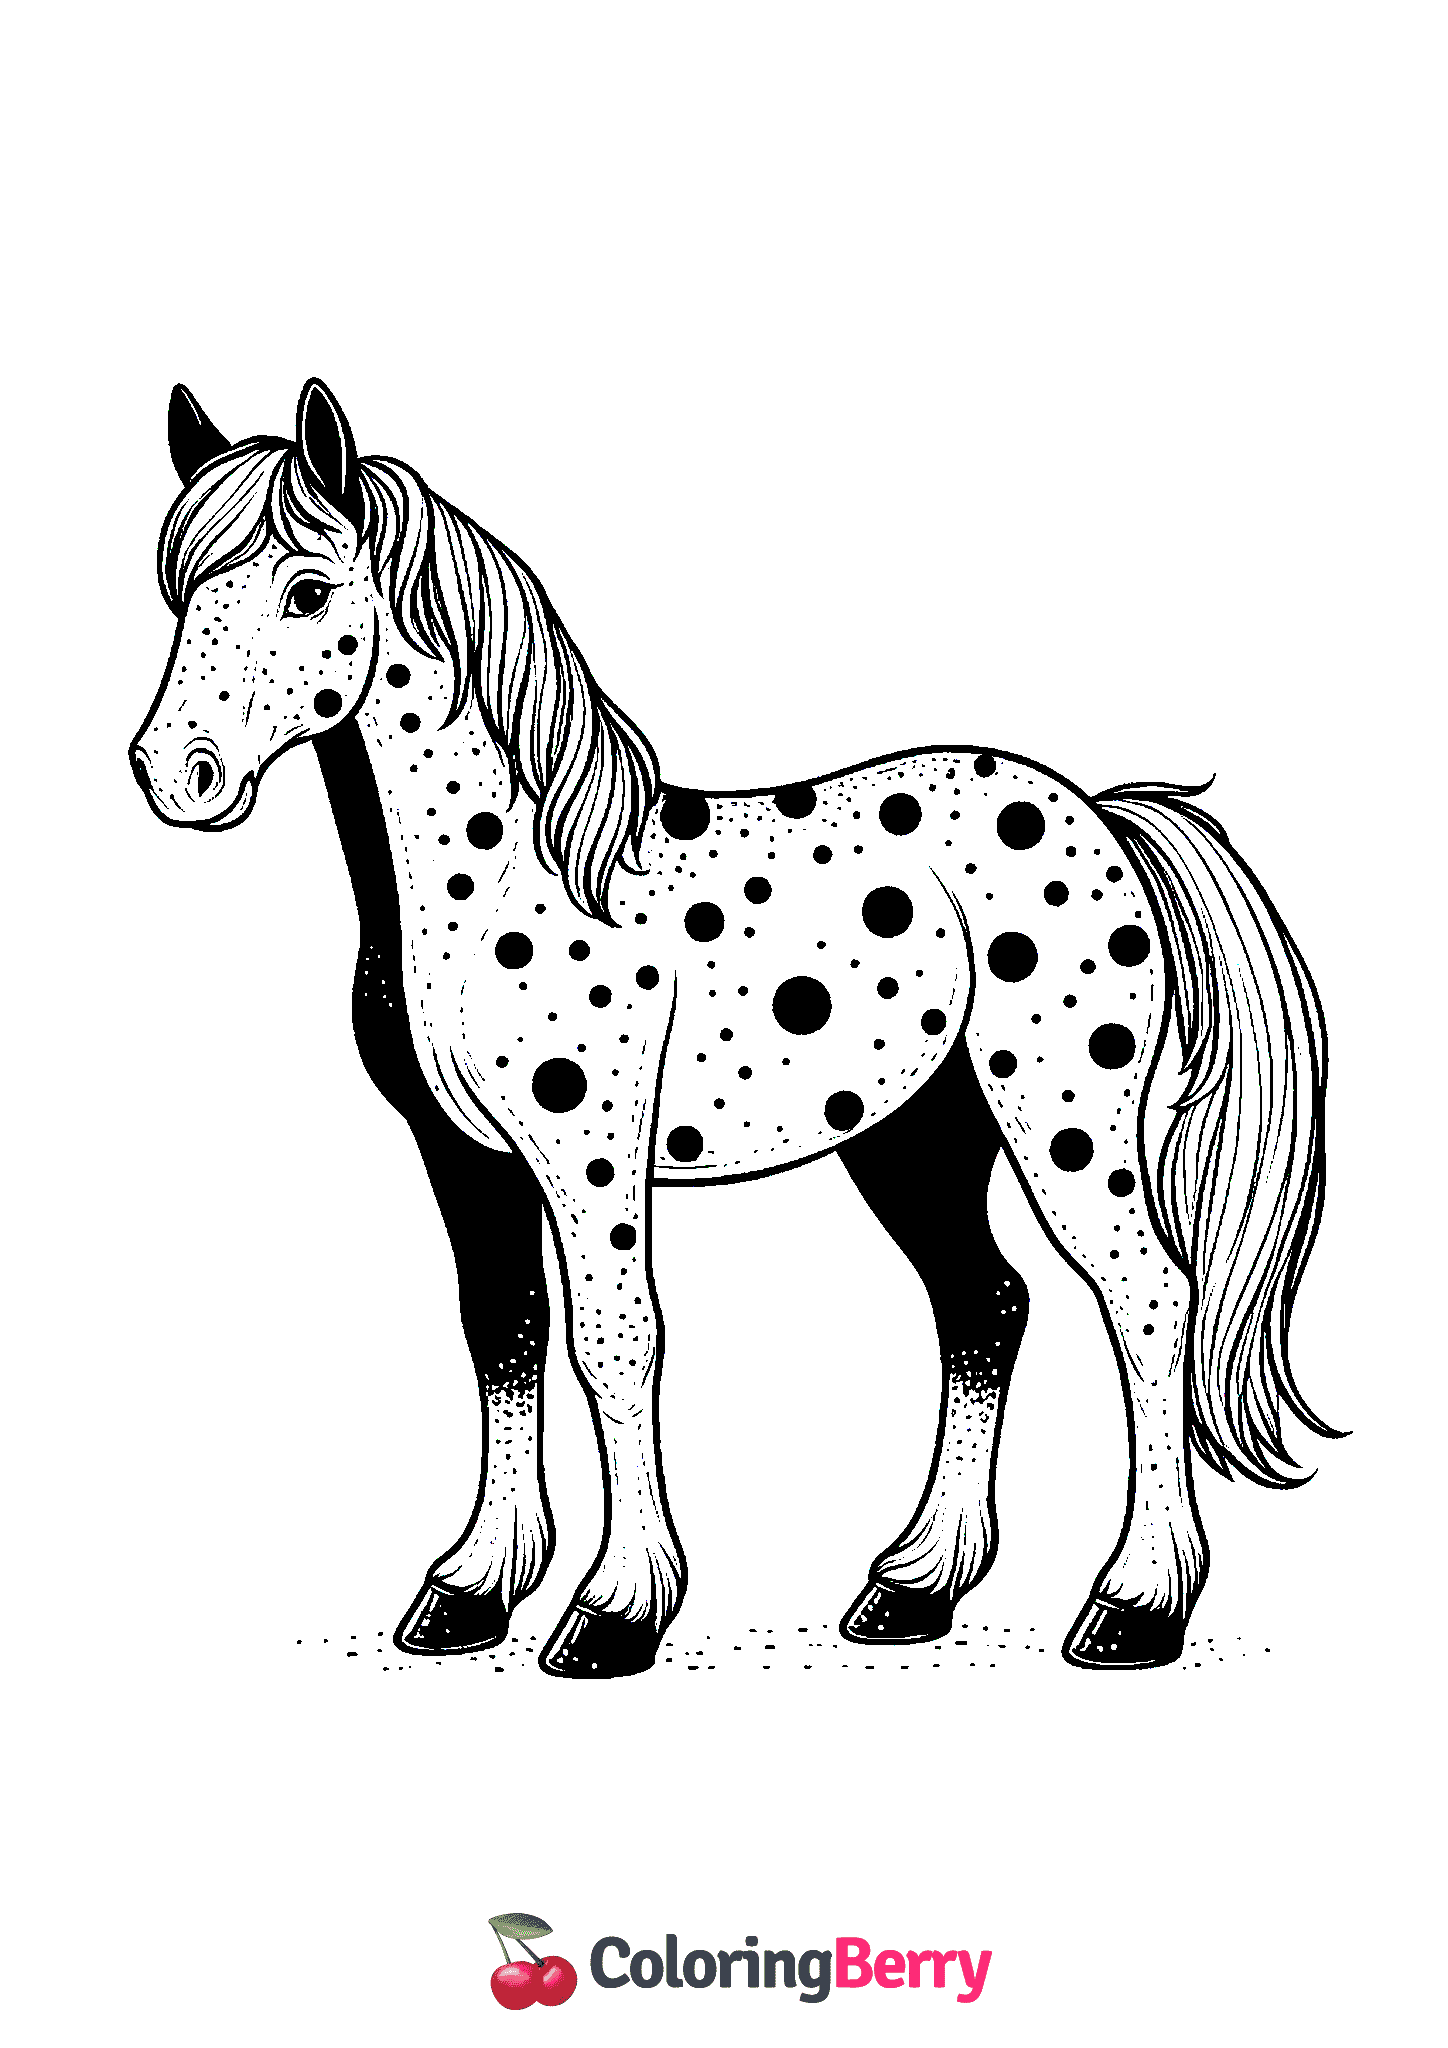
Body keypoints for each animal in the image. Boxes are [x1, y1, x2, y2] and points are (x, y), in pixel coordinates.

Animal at [130, 378, 1335, 1679]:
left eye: (307, 590)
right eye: (178, 590)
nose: (175, 774)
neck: (498, 877)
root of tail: (1099, 814)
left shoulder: (587, 1151)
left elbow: (614, 1342)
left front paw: (612, 1611)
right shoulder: (461, 1154)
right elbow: (501, 1330)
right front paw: (469, 1591)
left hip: (1061, 1118)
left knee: (1147, 1298)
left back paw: (1134, 1604)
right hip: (915, 1134)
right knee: (985, 1302)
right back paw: (912, 1587)